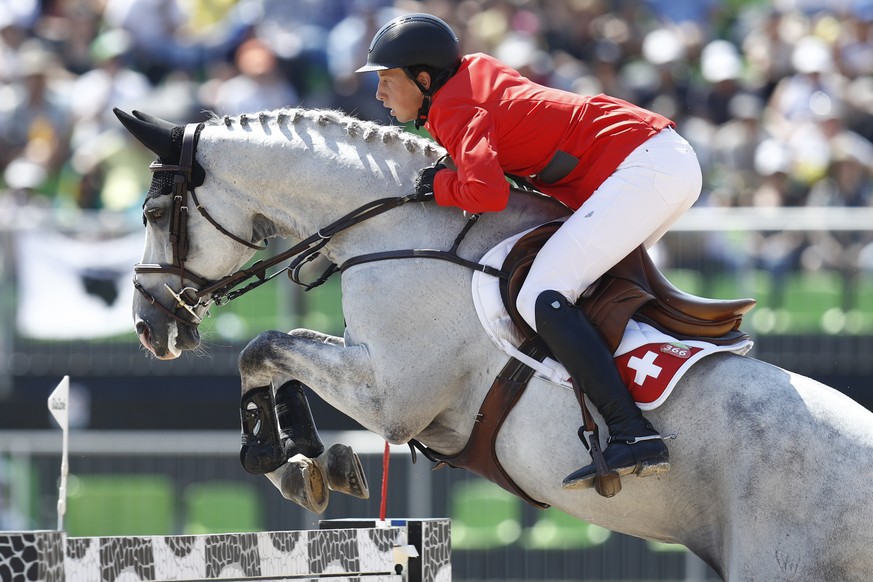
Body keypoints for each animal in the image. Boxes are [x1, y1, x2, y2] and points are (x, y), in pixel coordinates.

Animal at [114, 107, 872, 580]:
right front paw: (314, 460)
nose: (150, 326)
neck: (391, 227)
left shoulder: (393, 395)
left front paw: (278, 459)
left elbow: (264, 347)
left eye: (152, 212)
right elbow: (282, 354)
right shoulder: (377, 377)